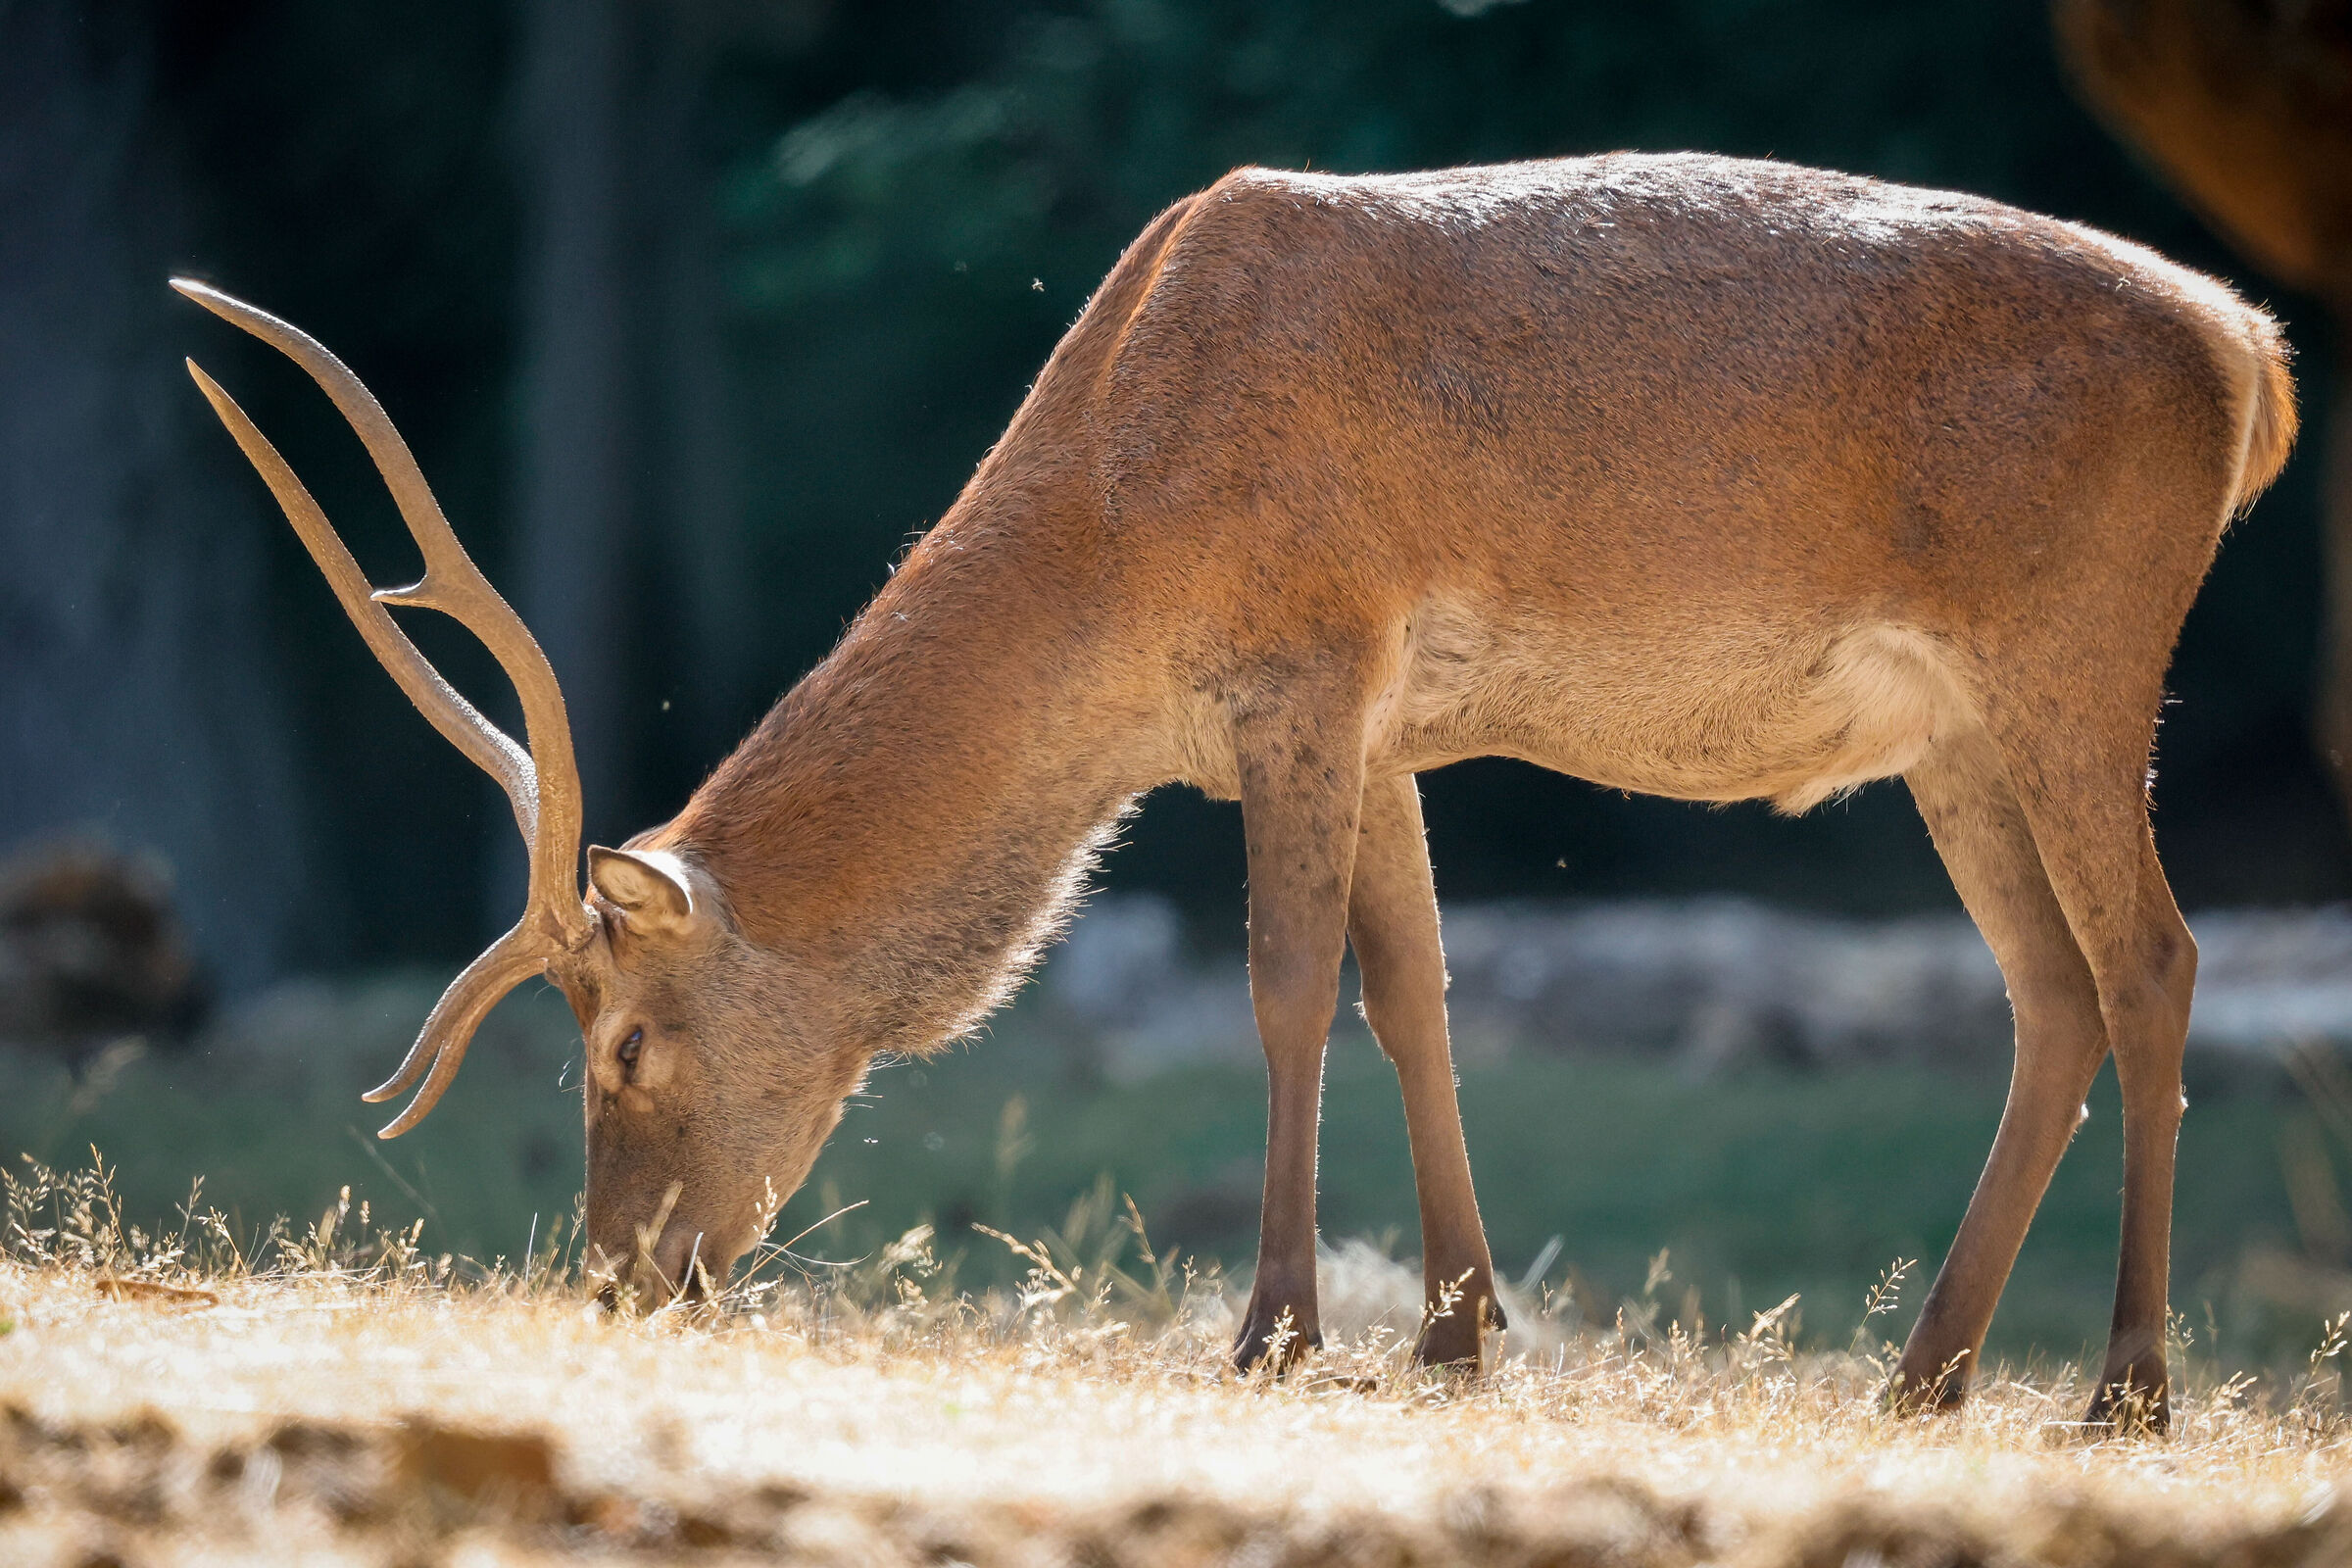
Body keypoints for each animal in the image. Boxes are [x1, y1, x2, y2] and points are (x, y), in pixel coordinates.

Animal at [176, 150, 2295, 1431]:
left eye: (622, 1047)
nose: (616, 1274)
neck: (1117, 523)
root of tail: (2253, 356)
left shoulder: (1310, 653)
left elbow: (1284, 987)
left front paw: (1274, 1325)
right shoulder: (1388, 723)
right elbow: (1416, 990)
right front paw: (1455, 1327)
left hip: (2079, 645)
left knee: (2161, 960)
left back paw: (2124, 1383)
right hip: (1952, 730)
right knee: (2049, 991)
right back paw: (1922, 1372)